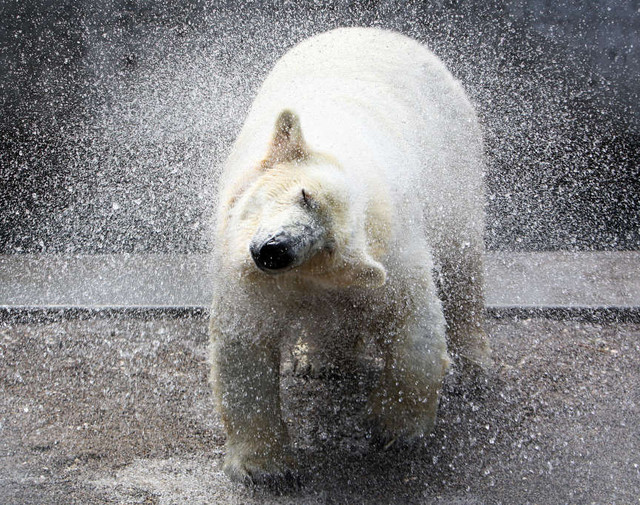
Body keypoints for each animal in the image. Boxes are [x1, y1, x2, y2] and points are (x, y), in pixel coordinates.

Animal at [209, 27, 490, 486]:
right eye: (304, 194)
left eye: (328, 245)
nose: (277, 250)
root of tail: (385, 32)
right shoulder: (248, 274)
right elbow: (244, 344)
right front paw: (266, 467)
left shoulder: (390, 252)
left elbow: (414, 322)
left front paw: (393, 428)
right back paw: (318, 361)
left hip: (455, 169)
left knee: (461, 262)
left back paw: (471, 362)